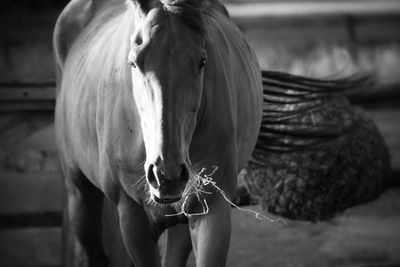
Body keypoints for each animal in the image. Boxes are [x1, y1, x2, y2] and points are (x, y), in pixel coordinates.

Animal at [54, 0, 262, 266]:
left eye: (202, 62)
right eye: (134, 62)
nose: (166, 175)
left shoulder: (211, 208)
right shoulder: (132, 218)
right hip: (80, 195)